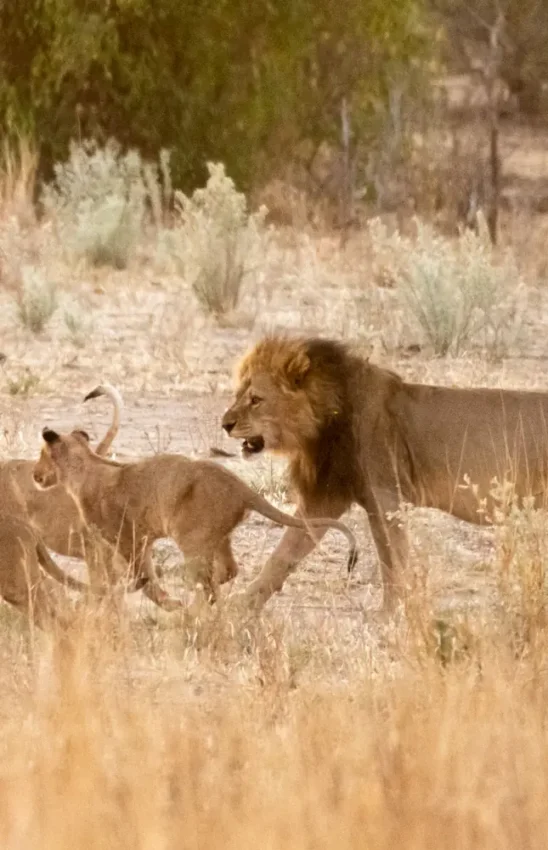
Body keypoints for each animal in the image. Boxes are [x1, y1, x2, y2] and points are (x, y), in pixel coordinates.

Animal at [32, 427, 358, 606]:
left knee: (212, 581)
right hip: (218, 536)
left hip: (193, 540)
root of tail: (239, 486)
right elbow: (145, 575)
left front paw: (158, 599)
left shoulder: (127, 537)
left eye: (41, 454)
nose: (35, 475)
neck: (84, 466)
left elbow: (141, 577)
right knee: (228, 571)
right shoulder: (143, 539)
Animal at [222, 335, 548, 612]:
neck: (325, 416)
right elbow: (284, 553)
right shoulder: (327, 496)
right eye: (237, 395)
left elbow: (392, 562)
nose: (225, 424)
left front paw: (392, 615)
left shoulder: (386, 498)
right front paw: (240, 609)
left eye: (256, 399)